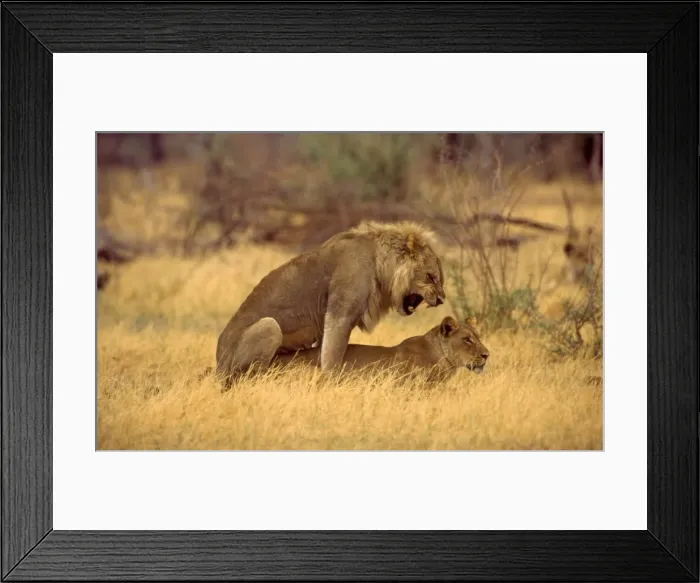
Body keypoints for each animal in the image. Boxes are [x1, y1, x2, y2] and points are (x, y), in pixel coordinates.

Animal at [215, 220, 447, 385]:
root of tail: (218, 362)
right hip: (268, 326)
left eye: (440, 279)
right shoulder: (340, 315)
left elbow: (323, 351)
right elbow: (332, 355)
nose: (442, 299)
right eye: (430, 277)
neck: (380, 264)